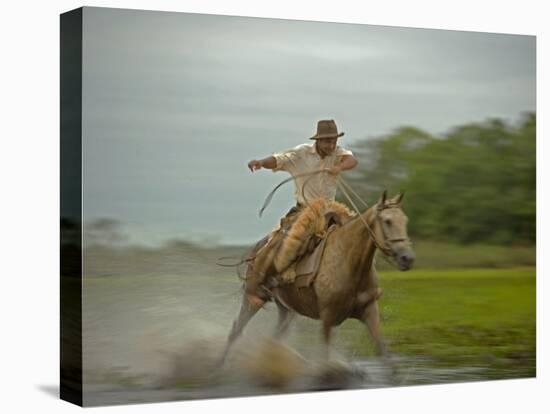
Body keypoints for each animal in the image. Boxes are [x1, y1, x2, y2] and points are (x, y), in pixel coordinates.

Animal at [220, 192, 414, 364]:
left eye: (405, 220)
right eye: (387, 221)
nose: (407, 258)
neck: (349, 262)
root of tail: (259, 248)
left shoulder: (369, 310)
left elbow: (385, 354)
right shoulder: (327, 318)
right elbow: (325, 359)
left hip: (286, 309)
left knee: (272, 338)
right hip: (253, 298)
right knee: (236, 330)